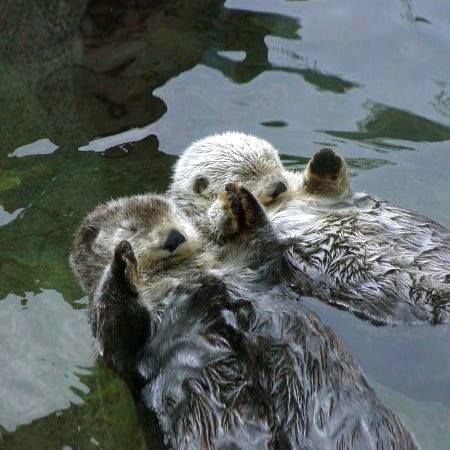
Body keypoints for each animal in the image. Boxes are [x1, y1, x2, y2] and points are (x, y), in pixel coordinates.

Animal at [70, 192, 418, 450]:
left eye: (177, 216)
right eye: (130, 228)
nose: (173, 236)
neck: (185, 274)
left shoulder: (247, 267)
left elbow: (263, 248)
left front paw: (241, 201)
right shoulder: (118, 338)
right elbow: (117, 333)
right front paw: (122, 261)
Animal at [169, 130, 450, 324]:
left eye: (273, 161)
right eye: (245, 176)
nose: (279, 186)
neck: (280, 203)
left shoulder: (326, 197)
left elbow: (331, 187)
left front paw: (325, 160)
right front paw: (229, 205)